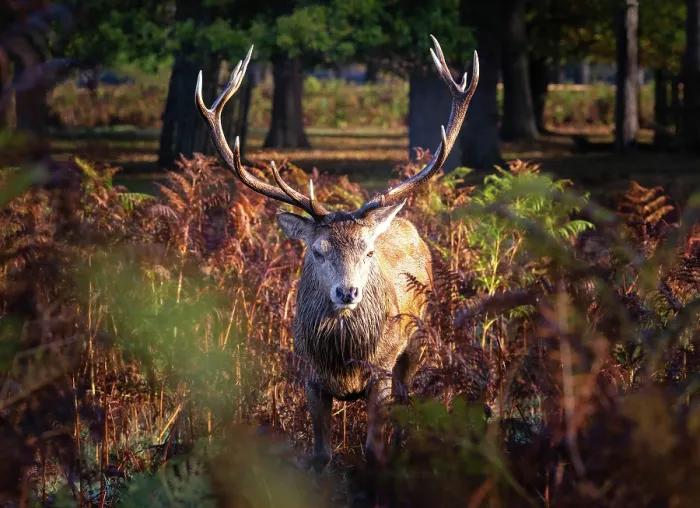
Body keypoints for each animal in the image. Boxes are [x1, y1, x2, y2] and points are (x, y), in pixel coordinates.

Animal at [195, 35, 478, 469]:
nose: (347, 292)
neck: (342, 362)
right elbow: (321, 454)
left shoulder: (381, 372)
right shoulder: (309, 379)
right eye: (317, 250)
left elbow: (373, 448)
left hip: (417, 342)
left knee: (407, 400)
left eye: (368, 251)